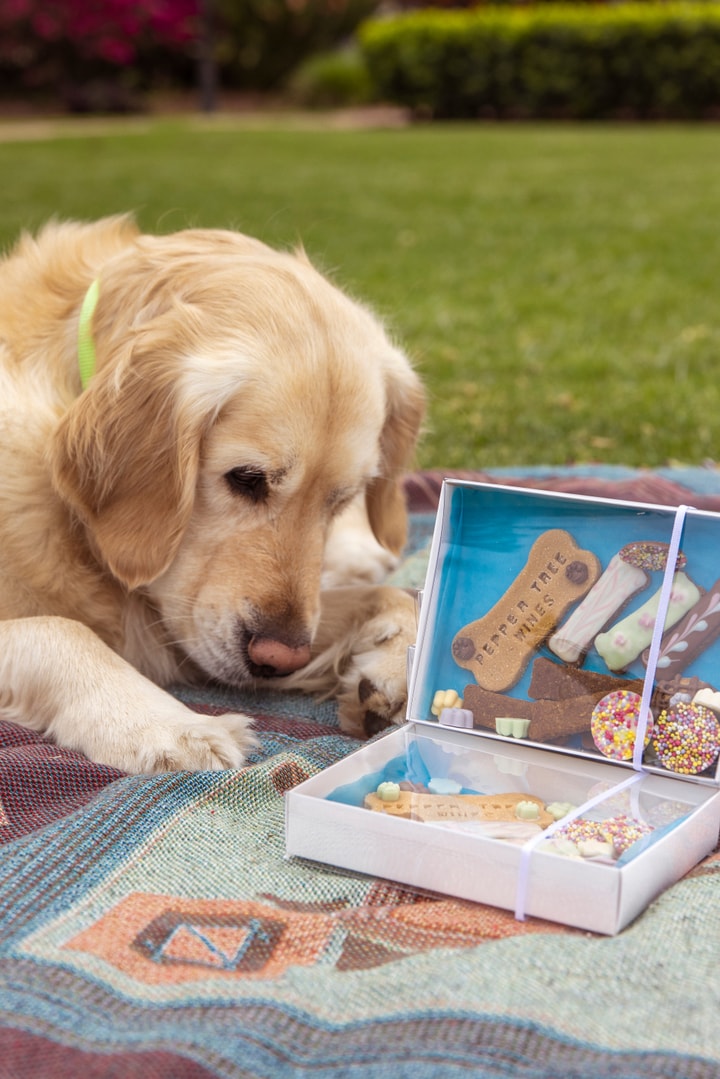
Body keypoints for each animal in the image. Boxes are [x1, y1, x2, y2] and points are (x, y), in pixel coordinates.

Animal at [0, 216, 425, 776]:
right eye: (246, 478)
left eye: (340, 498)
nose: (277, 660)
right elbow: (59, 629)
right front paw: (164, 724)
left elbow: (401, 594)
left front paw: (395, 666)